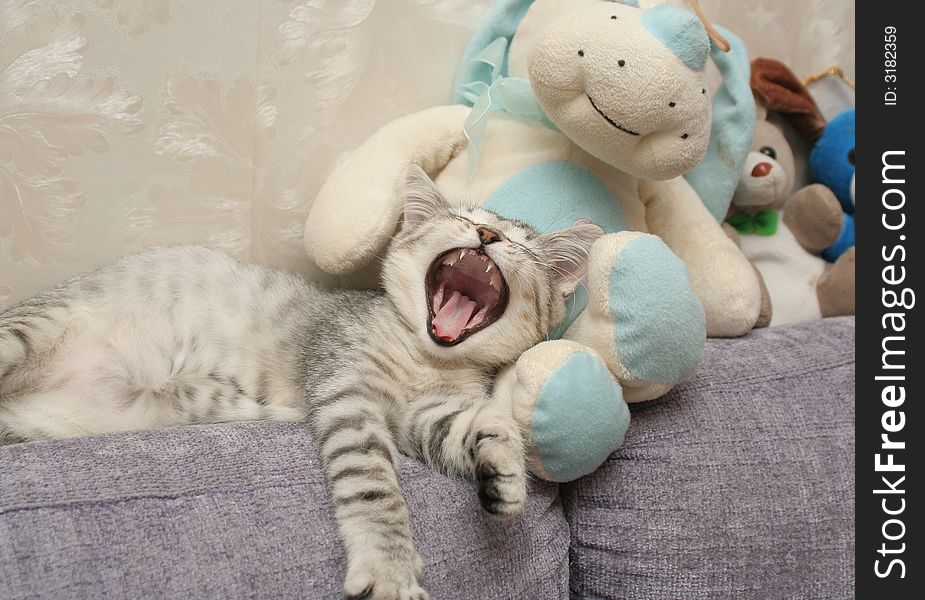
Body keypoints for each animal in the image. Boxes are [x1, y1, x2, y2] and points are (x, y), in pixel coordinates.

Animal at [0, 166, 604, 600]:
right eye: (459, 216)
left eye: (521, 242)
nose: (485, 232)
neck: (425, 358)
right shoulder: (346, 391)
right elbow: (374, 485)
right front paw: (389, 569)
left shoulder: (420, 418)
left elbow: (478, 424)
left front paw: (504, 469)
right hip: (30, 330)